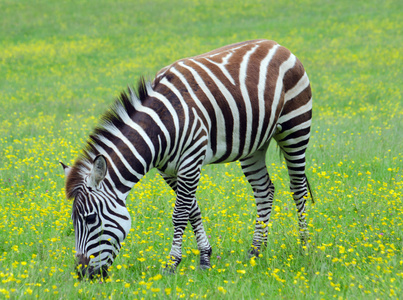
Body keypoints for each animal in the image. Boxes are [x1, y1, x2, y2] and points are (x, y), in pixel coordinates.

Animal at [61, 39, 316, 278]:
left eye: (91, 219)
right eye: (73, 222)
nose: (82, 275)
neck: (161, 125)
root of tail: (276, 45)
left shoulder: (191, 160)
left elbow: (180, 213)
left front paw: (171, 264)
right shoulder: (168, 170)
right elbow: (193, 210)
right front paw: (205, 258)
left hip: (296, 127)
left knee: (298, 188)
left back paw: (304, 247)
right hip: (254, 144)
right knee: (264, 190)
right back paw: (256, 250)